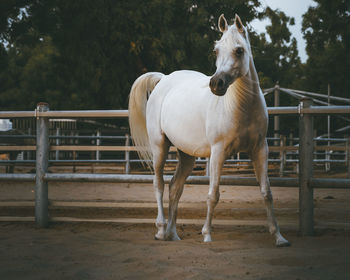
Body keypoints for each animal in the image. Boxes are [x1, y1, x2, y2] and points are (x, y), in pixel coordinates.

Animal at [129, 14, 290, 246]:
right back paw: (160, 230)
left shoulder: (260, 150)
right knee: (158, 184)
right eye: (216, 50)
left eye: (239, 50)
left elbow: (266, 192)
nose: (216, 84)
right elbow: (213, 194)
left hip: (187, 155)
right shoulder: (218, 152)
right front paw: (206, 234)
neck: (240, 108)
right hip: (159, 147)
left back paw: (172, 233)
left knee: (175, 187)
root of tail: (164, 79)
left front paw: (278, 236)